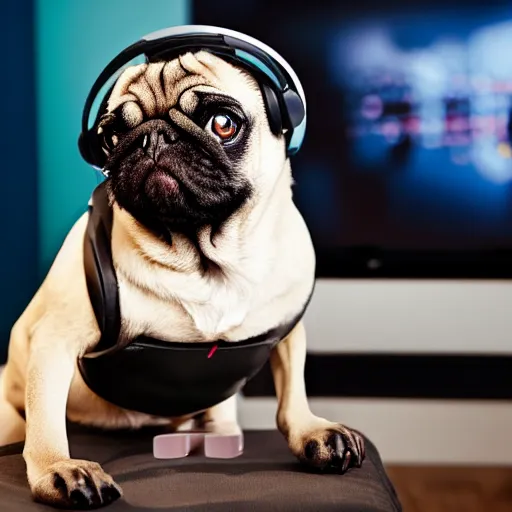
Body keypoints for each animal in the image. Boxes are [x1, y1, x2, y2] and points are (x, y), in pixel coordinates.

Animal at [0, 49, 364, 508]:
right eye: (113, 136)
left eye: (223, 123)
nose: (152, 137)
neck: (207, 262)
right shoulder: (55, 339)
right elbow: (46, 417)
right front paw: (57, 468)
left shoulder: (287, 331)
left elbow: (292, 392)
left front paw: (311, 430)